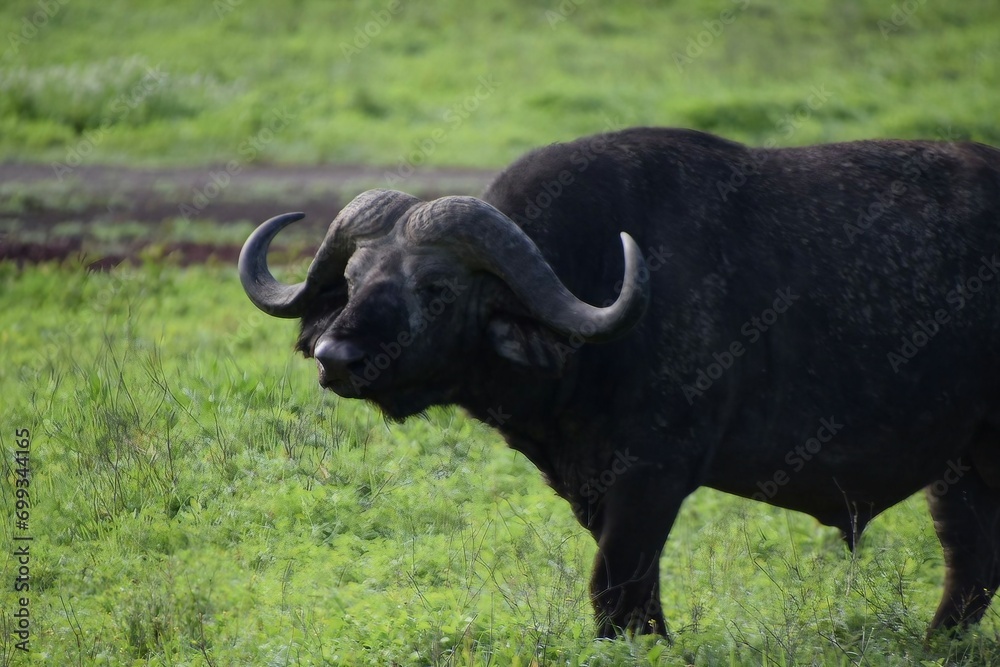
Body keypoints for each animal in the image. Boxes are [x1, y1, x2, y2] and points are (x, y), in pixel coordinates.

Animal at [240, 128, 1000, 640]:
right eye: (354, 277)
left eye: (437, 288)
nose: (336, 355)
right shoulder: (596, 485)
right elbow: (632, 593)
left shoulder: (653, 477)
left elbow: (616, 589)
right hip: (956, 463)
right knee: (970, 561)